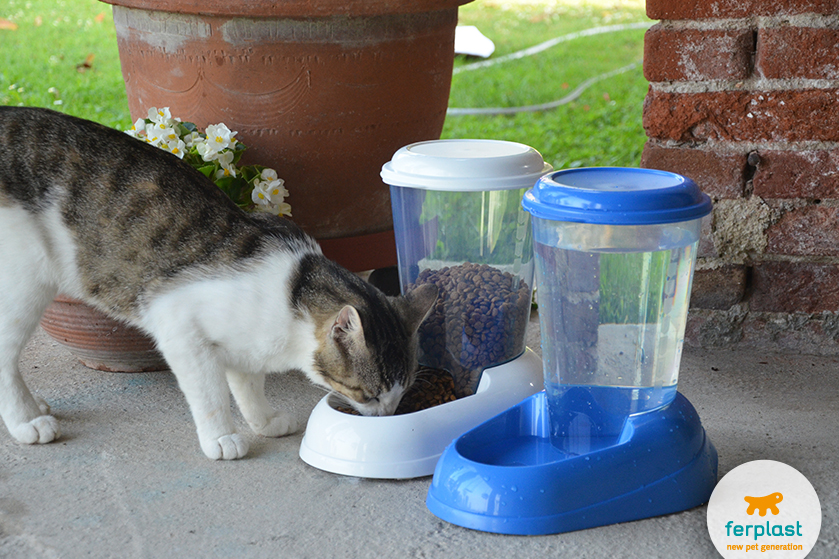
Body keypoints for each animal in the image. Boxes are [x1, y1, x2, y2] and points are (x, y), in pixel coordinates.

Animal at [1, 107, 440, 462]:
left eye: (401, 392)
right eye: (370, 394)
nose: (388, 418)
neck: (293, 288)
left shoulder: (246, 346)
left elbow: (248, 384)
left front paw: (263, 420)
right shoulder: (179, 329)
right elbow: (210, 393)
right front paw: (222, 437)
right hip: (24, 280)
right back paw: (27, 422)